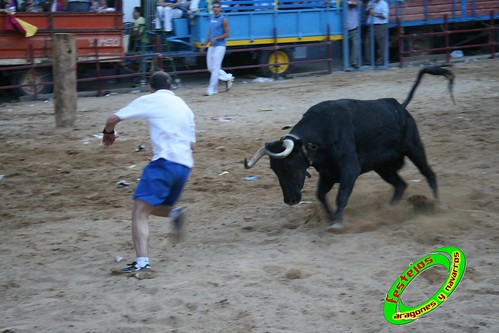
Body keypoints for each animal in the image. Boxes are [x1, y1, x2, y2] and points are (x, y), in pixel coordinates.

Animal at [244, 67, 456, 228]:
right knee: (400, 185)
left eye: (288, 165)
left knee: (429, 174)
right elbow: (321, 195)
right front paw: (331, 217)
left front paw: (337, 223)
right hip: (383, 167)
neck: (322, 134)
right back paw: (390, 209)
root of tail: (400, 107)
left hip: (414, 148)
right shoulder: (328, 174)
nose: (290, 200)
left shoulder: (350, 169)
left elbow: (342, 195)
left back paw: (439, 205)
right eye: (273, 169)